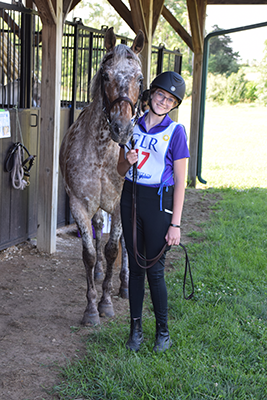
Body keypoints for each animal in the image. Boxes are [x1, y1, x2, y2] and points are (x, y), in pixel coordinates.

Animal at [60, 27, 146, 324]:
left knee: (126, 246)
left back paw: (125, 285)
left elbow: (113, 250)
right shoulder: (79, 204)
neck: (100, 153)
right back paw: (99, 273)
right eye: (106, 75)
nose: (121, 128)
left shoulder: (120, 206)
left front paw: (106, 302)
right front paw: (90, 308)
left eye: (140, 78)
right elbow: (88, 252)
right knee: (98, 227)